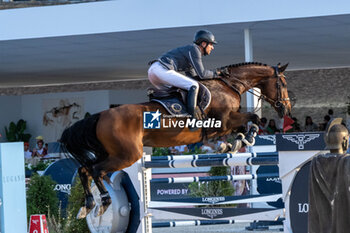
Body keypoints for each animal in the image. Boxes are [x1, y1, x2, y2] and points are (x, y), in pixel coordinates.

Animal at [60, 62, 292, 218]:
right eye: (282, 83)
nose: (287, 108)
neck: (229, 85)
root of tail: (100, 115)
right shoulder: (224, 121)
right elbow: (253, 118)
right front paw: (243, 139)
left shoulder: (225, 124)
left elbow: (245, 125)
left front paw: (234, 143)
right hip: (128, 155)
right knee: (96, 170)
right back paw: (104, 203)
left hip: (111, 153)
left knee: (85, 169)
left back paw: (87, 206)